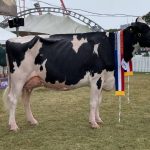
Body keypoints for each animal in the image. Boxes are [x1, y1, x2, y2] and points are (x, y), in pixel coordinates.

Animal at [3, 17, 150, 131]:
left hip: (29, 82)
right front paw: (93, 123)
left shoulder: (103, 79)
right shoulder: (96, 77)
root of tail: (12, 40)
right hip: (18, 78)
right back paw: (13, 126)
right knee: (13, 99)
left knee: (26, 100)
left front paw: (98, 119)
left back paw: (32, 121)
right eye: (144, 29)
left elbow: (99, 101)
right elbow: (93, 102)